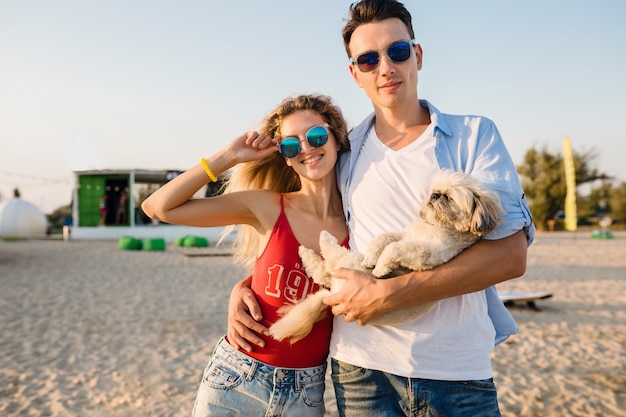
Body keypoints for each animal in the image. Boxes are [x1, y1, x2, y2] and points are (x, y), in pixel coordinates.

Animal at [268, 168, 502, 342]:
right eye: (435, 191)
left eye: (450, 198)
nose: (435, 196)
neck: (435, 226)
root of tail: (332, 294)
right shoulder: (404, 234)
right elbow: (383, 238)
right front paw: (372, 258)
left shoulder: (426, 253)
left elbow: (394, 249)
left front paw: (380, 268)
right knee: (323, 271)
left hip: (347, 262)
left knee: (327, 264)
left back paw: (321, 241)